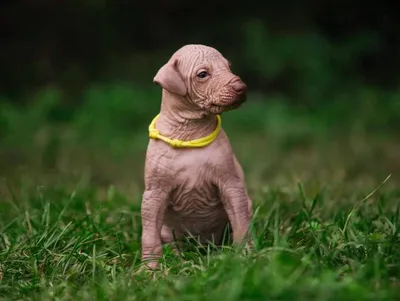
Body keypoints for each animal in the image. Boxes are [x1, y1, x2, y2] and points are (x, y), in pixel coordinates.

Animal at [142, 43, 252, 268]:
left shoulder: (231, 185)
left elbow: (241, 223)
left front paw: (245, 256)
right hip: (168, 229)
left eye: (228, 67)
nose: (242, 87)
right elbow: (149, 236)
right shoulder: (153, 194)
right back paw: (177, 258)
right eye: (202, 74)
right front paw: (148, 269)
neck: (189, 131)